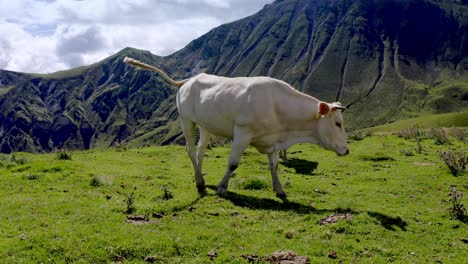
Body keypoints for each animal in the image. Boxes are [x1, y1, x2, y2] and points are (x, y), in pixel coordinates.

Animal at [124, 57, 348, 198]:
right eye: (337, 123)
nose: (346, 150)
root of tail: (190, 79)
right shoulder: (242, 133)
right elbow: (233, 164)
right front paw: (222, 188)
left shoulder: (272, 141)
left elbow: (274, 166)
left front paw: (279, 189)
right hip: (186, 120)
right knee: (190, 149)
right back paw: (200, 183)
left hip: (205, 125)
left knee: (201, 150)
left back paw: (200, 176)